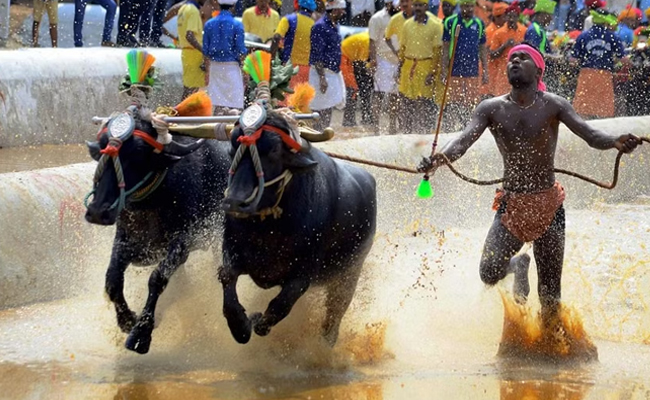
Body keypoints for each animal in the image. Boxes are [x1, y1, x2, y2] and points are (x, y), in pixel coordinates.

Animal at [85, 107, 229, 354]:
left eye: (136, 154)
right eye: (103, 148)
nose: (97, 211)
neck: (153, 200)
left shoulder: (182, 244)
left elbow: (157, 278)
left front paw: (141, 333)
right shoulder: (125, 238)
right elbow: (112, 279)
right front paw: (127, 320)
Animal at [218, 111, 374, 344]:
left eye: (274, 150)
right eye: (232, 147)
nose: (235, 202)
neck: (268, 228)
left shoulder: (302, 275)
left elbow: (280, 305)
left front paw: (256, 321)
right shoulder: (232, 249)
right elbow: (228, 284)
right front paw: (241, 326)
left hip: (350, 273)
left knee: (335, 312)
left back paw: (326, 343)